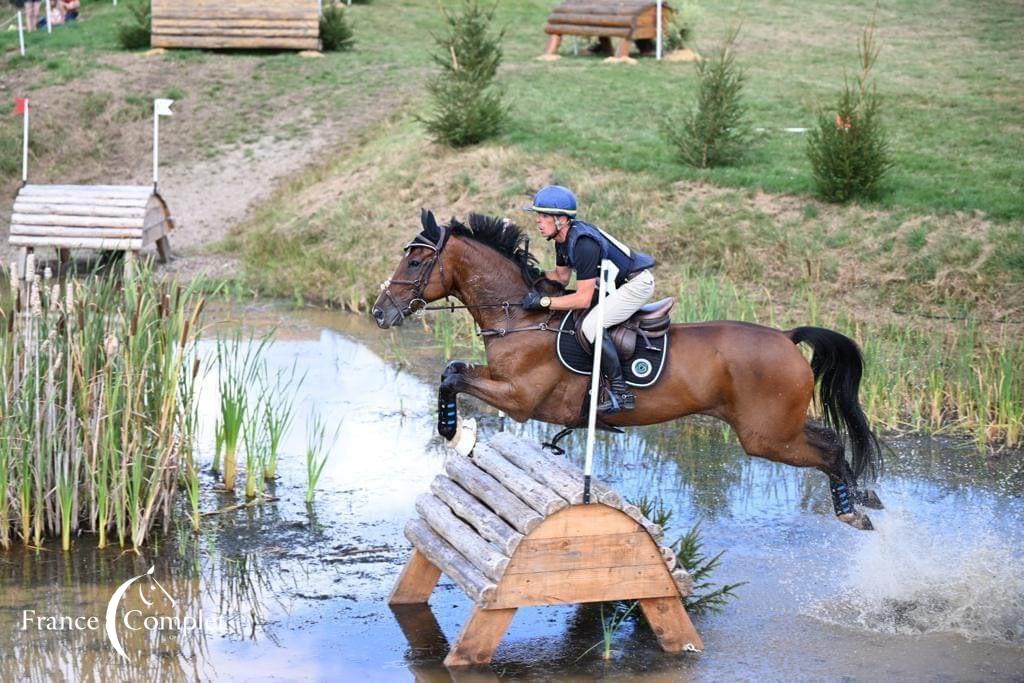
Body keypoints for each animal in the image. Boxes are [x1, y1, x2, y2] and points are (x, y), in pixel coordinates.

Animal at [372, 210, 884, 532]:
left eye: (414, 261)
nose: (380, 312)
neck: (520, 316)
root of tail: (786, 337)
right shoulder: (503, 382)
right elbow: (452, 370)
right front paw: (458, 431)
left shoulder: (519, 398)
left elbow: (455, 377)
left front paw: (457, 433)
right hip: (776, 426)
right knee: (829, 439)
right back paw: (864, 500)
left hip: (765, 436)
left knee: (828, 450)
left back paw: (854, 511)